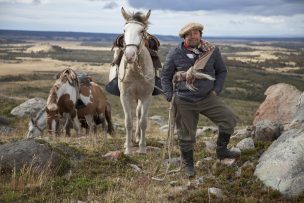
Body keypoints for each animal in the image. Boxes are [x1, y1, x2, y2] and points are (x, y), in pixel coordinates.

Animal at [119, 7, 156, 154]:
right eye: (124, 30)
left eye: (141, 31)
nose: (129, 56)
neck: (135, 71)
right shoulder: (125, 96)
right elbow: (128, 122)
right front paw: (128, 149)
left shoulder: (146, 97)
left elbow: (143, 122)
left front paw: (142, 148)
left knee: (139, 114)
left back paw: (138, 138)